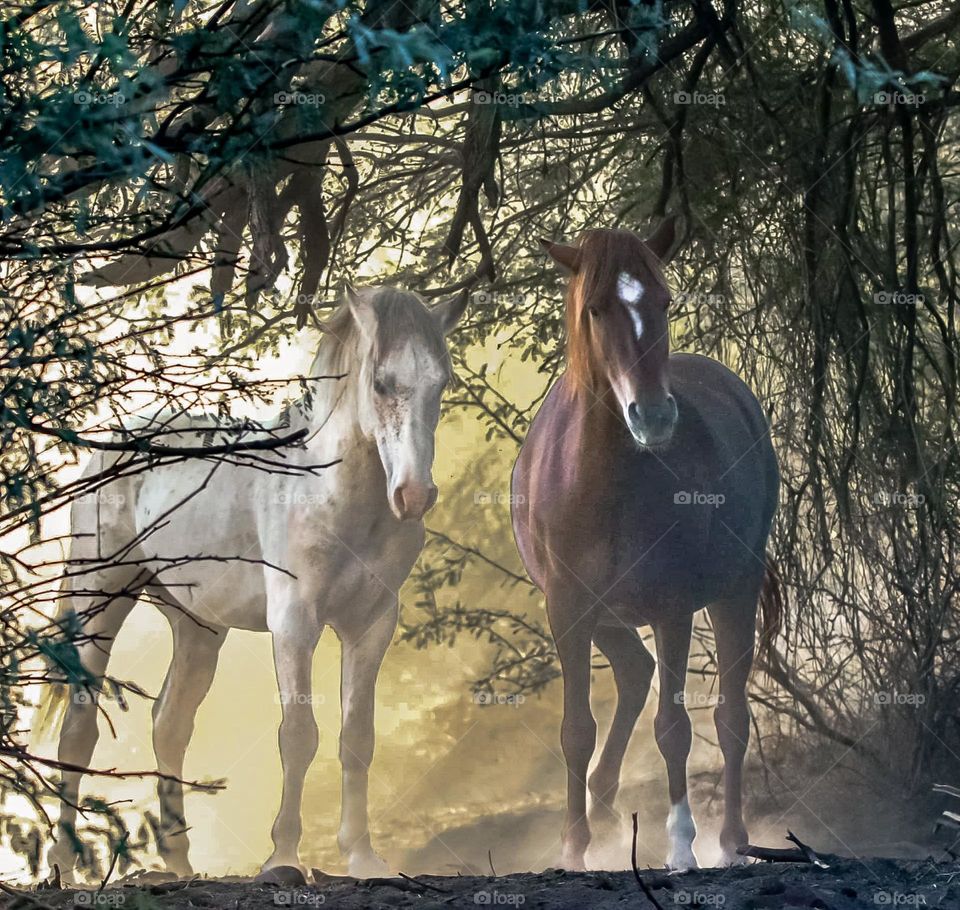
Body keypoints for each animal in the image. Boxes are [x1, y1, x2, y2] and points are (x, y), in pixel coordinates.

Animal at [41, 285, 468, 879]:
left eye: (441, 382)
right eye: (382, 382)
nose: (414, 495)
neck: (332, 493)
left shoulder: (372, 625)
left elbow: (357, 738)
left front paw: (362, 856)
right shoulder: (294, 625)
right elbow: (298, 735)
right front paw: (283, 857)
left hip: (197, 626)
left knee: (170, 724)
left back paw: (178, 862)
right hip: (101, 597)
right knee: (79, 728)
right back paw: (63, 863)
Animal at [510, 218, 781, 871]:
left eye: (663, 301)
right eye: (595, 308)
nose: (654, 416)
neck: (599, 483)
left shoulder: (671, 607)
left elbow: (674, 728)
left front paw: (681, 843)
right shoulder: (568, 610)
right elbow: (575, 729)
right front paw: (573, 846)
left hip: (733, 592)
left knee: (730, 715)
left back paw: (731, 839)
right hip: (609, 617)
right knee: (635, 672)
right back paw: (605, 809)